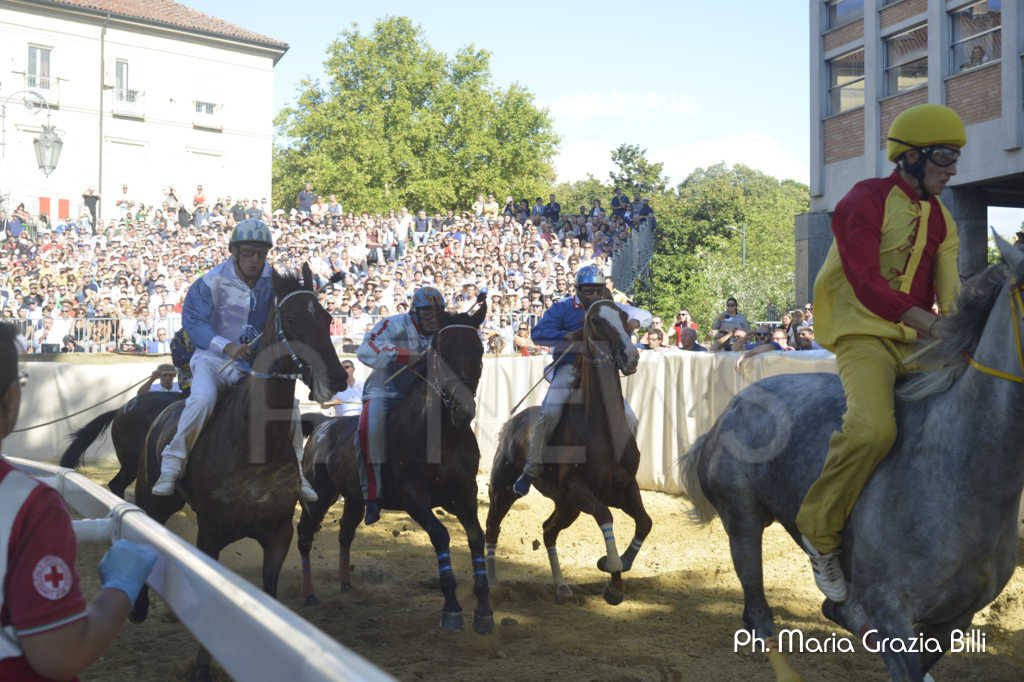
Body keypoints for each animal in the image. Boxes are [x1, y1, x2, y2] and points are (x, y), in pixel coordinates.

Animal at [135, 264, 348, 679]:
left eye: (327, 318)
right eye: (292, 320)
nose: (338, 378)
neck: (253, 444)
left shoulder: (278, 533)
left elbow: (270, 595)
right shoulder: (211, 533)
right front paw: (202, 668)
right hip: (153, 498)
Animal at [296, 303, 495, 630]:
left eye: (478, 349)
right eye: (442, 351)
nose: (462, 408)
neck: (441, 436)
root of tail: (323, 424)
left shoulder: (465, 494)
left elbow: (477, 537)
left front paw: (483, 609)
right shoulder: (413, 498)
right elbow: (440, 535)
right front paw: (452, 607)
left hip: (355, 499)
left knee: (345, 534)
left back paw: (346, 583)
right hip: (319, 497)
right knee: (304, 535)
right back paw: (309, 593)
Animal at [483, 296, 651, 602]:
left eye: (624, 317)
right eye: (596, 321)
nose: (631, 356)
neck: (599, 428)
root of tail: (512, 423)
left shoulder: (623, 487)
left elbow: (644, 522)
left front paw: (618, 569)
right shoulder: (579, 489)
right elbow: (606, 517)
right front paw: (612, 572)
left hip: (566, 507)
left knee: (549, 531)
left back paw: (561, 585)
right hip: (503, 489)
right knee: (492, 528)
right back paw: (491, 581)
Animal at [679, 235, 1024, 679]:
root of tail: (728, 411)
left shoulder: (955, 620)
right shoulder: (892, 611)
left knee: (824, 607)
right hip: (742, 520)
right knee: (758, 612)